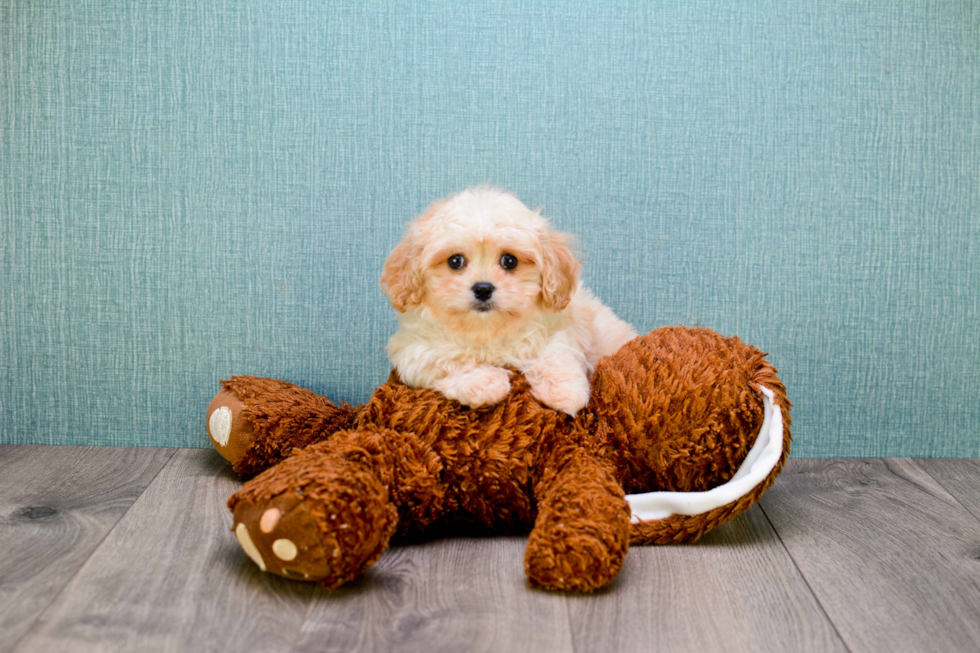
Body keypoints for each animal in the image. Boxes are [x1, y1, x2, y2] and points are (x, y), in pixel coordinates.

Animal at [378, 186, 640, 416]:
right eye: (455, 261)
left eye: (509, 261)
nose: (483, 288)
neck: (486, 329)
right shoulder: (415, 350)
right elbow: (450, 361)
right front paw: (485, 385)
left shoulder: (560, 332)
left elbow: (556, 355)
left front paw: (564, 392)